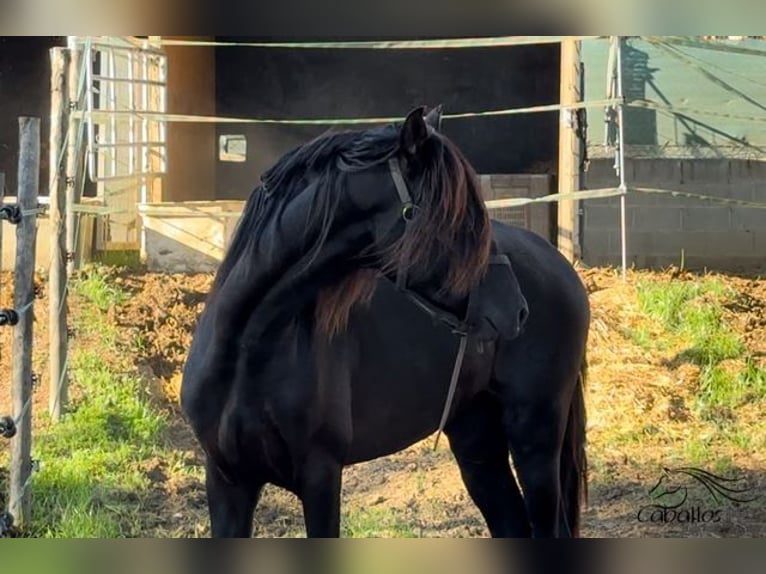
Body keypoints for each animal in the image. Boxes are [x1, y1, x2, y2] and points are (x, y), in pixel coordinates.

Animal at [182, 107, 592, 540]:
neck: (248, 352)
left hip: (535, 439)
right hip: (476, 441)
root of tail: (560, 265)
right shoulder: (227, 481)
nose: (516, 310)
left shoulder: (320, 476)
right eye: (458, 215)